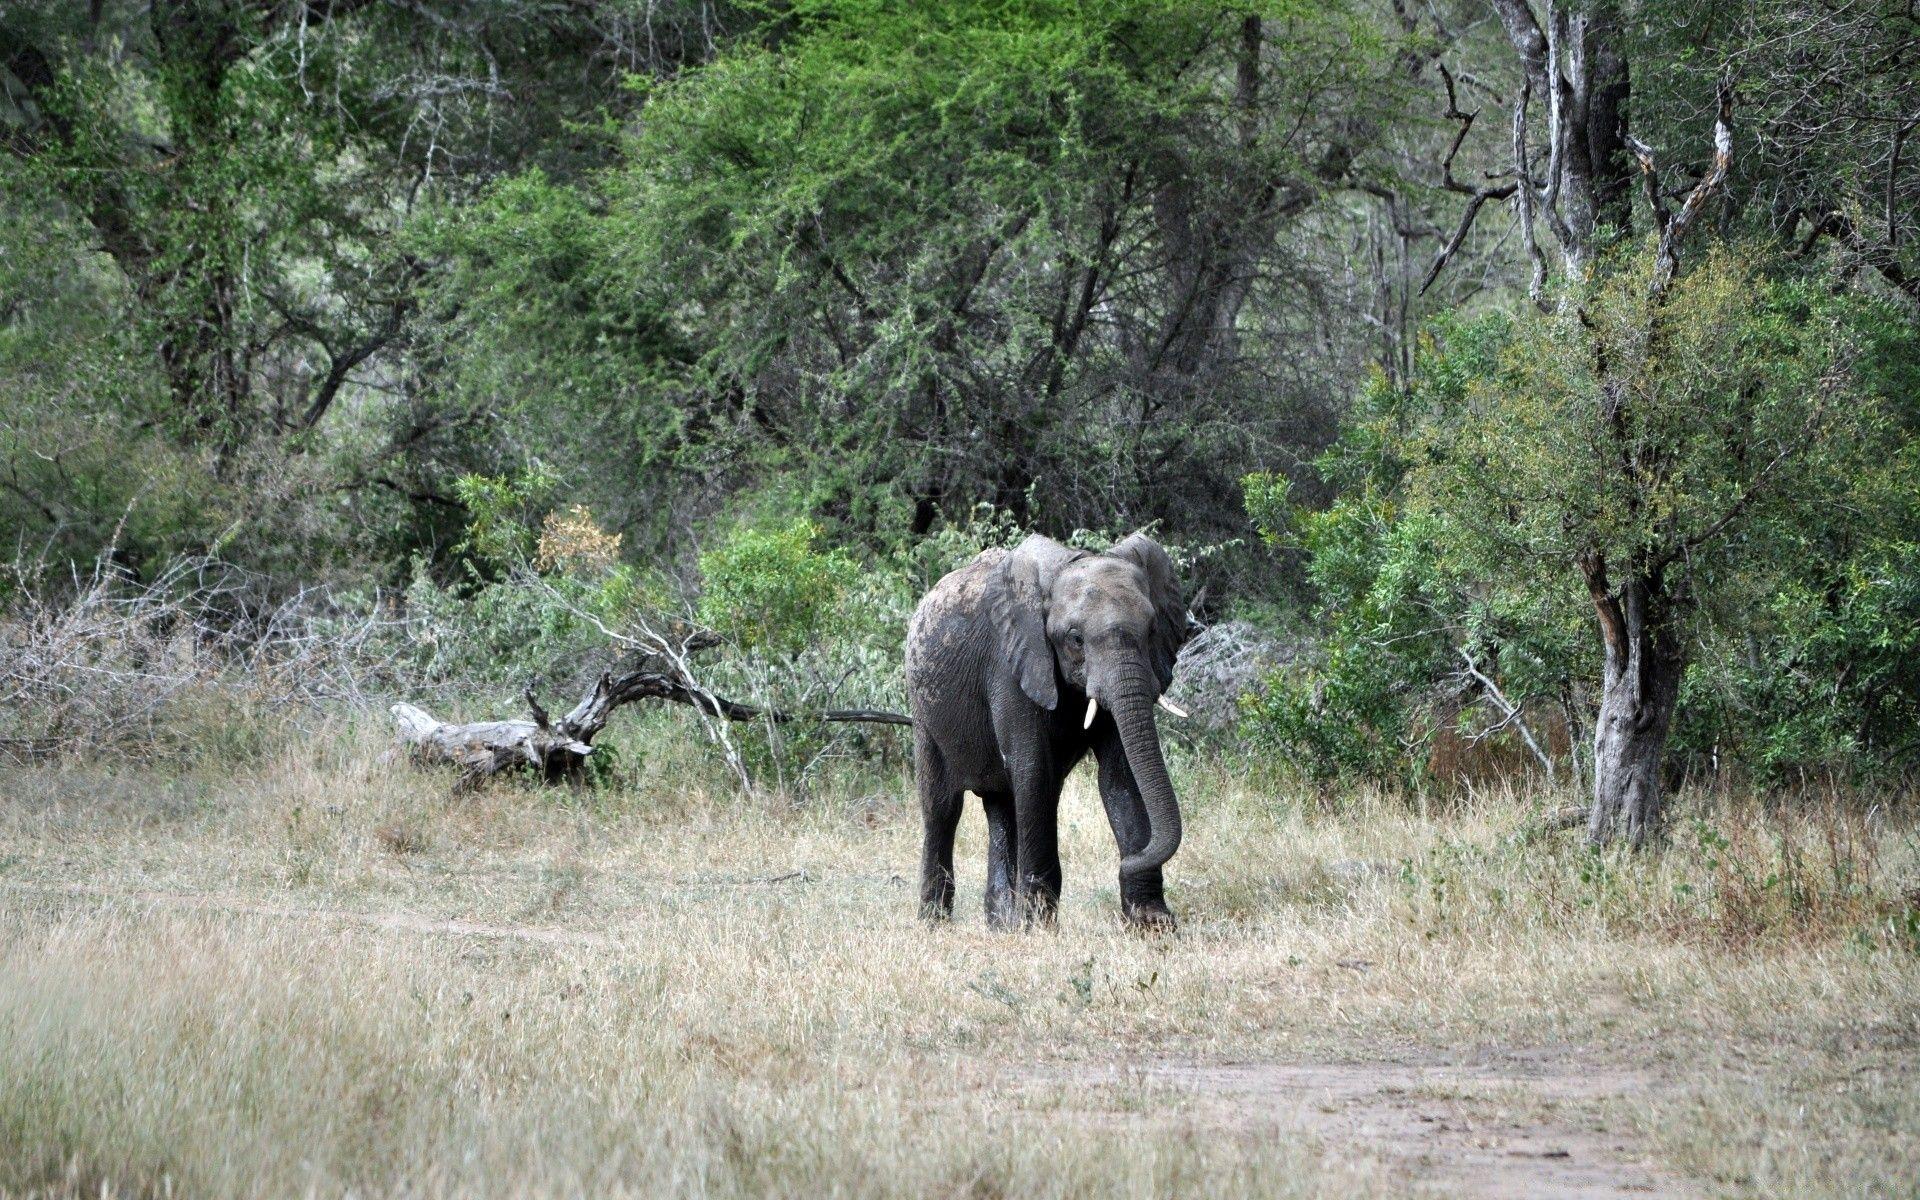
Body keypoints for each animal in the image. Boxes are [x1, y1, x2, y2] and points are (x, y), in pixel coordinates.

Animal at [904, 532, 1193, 929]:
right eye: (1075, 639)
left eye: (1151, 631)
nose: (1125, 863)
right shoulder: (1011, 667)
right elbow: (1034, 771)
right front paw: (1039, 927)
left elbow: (1121, 775)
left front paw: (1152, 924)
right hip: (923, 709)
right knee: (942, 807)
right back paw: (935, 923)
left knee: (1002, 805)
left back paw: (1002, 926)